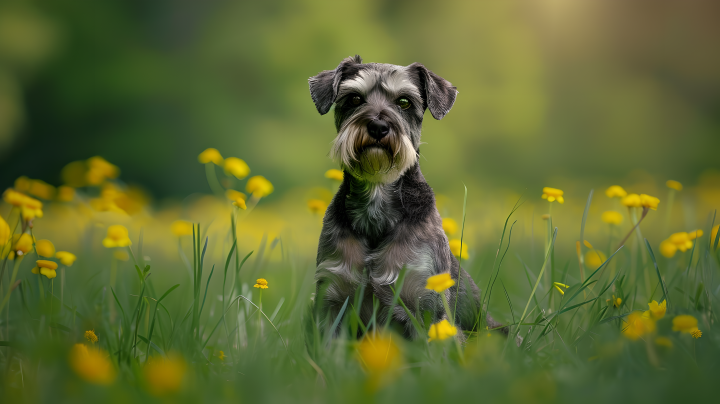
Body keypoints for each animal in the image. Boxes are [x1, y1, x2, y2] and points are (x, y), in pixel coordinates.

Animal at [308, 55, 506, 340]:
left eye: (404, 101)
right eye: (354, 98)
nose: (378, 126)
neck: (377, 194)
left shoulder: (425, 303)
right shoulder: (332, 299)